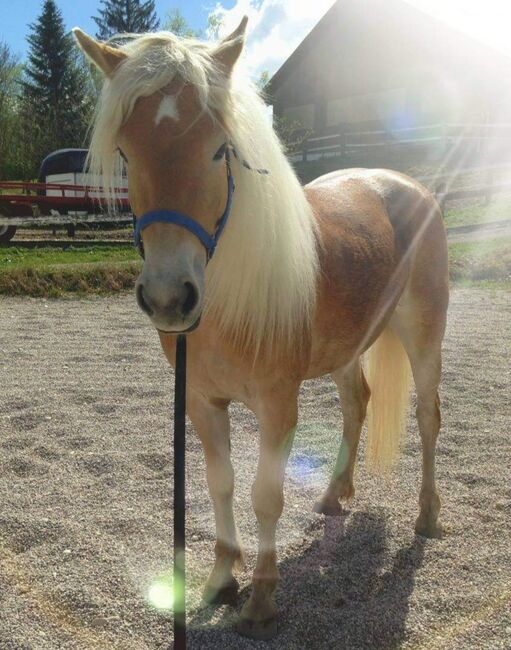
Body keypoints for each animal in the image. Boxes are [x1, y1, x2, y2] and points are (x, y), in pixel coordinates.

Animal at [75, 19, 448, 636]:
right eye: (126, 152)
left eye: (219, 150)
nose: (169, 298)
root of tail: (410, 185)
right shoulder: (202, 402)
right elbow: (221, 484)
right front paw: (221, 579)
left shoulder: (277, 406)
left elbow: (266, 494)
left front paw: (261, 601)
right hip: (349, 347)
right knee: (358, 401)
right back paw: (333, 496)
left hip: (423, 336)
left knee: (428, 417)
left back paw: (427, 516)